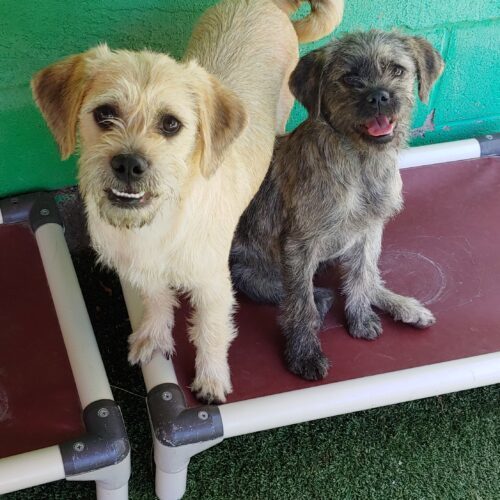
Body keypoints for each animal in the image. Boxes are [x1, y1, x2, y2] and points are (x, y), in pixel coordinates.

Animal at [30, 0, 344, 398]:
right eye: (104, 114)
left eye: (170, 124)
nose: (129, 164)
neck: (158, 223)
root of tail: (268, 5)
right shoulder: (141, 269)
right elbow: (156, 300)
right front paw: (154, 338)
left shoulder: (213, 285)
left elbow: (210, 331)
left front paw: (211, 378)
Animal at [230, 31, 446, 380]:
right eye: (348, 78)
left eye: (397, 70)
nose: (379, 97)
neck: (361, 162)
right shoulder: (299, 245)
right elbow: (299, 303)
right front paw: (304, 352)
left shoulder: (370, 231)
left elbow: (362, 276)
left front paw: (360, 317)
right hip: (248, 273)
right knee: (295, 292)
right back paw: (322, 299)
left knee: (366, 278)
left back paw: (405, 306)